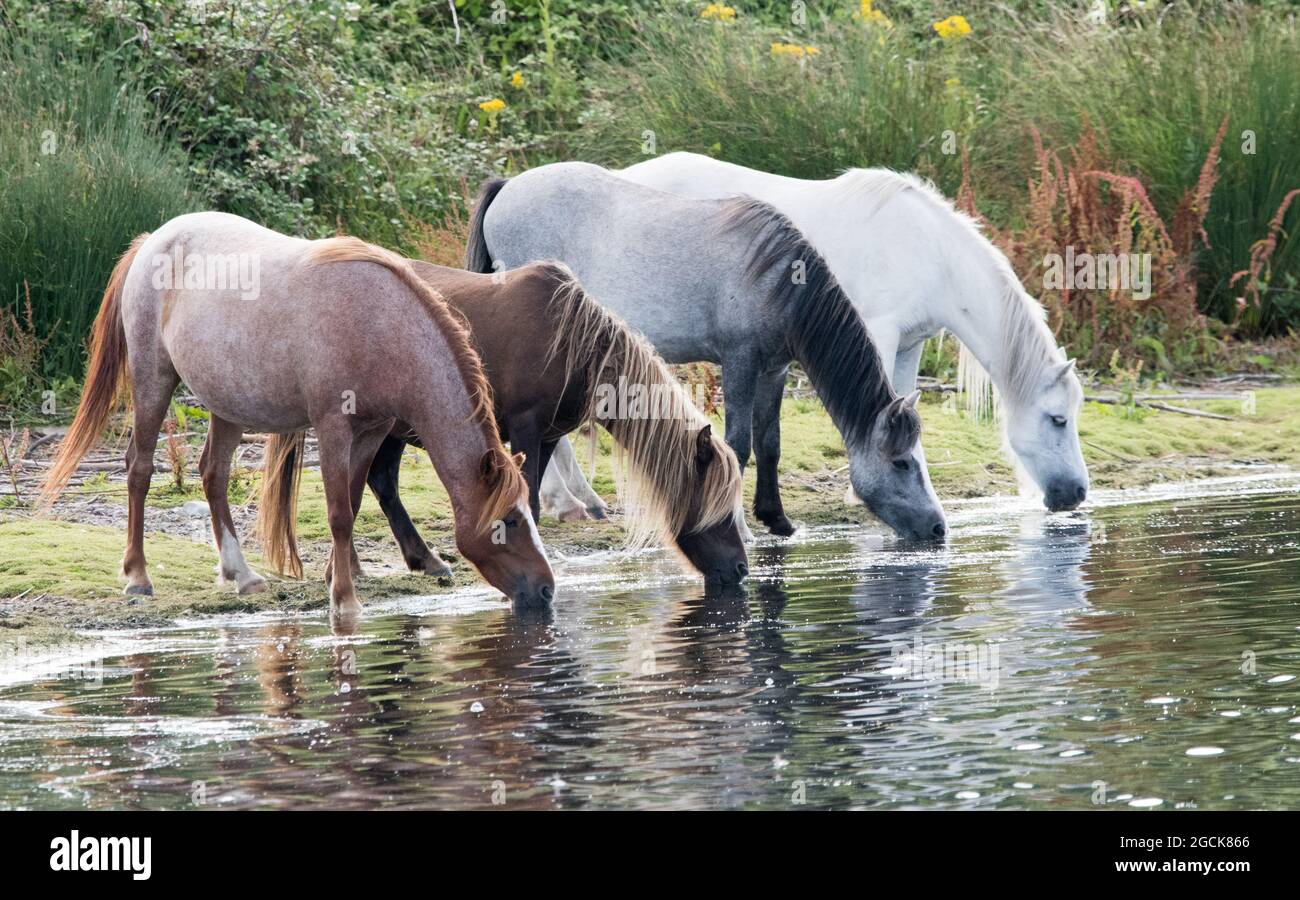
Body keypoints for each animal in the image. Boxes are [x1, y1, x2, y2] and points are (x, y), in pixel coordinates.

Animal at [39, 211, 548, 619]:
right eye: (509, 521)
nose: (545, 589)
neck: (382, 324)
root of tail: (153, 242)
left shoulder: (371, 430)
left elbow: (353, 503)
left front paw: (336, 577)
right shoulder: (333, 427)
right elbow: (339, 513)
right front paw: (344, 599)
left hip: (227, 404)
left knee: (213, 474)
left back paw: (241, 574)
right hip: (152, 381)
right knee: (139, 469)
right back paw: (138, 577)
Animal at [261, 258, 754, 590]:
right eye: (714, 504)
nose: (741, 569)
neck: (574, 345)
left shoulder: (549, 436)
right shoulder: (527, 429)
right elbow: (529, 499)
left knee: (378, 482)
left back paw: (413, 561)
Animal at [465, 162, 946, 541]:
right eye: (903, 463)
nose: (938, 527)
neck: (776, 277)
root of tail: (509, 186)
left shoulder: (773, 370)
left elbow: (769, 443)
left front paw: (777, 518)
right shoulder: (740, 363)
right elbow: (739, 444)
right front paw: (744, 527)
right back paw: (573, 502)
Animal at [543, 152, 1092, 517]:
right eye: (1058, 419)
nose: (1078, 494)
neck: (928, 252)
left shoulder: (909, 344)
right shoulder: (879, 333)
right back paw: (568, 501)